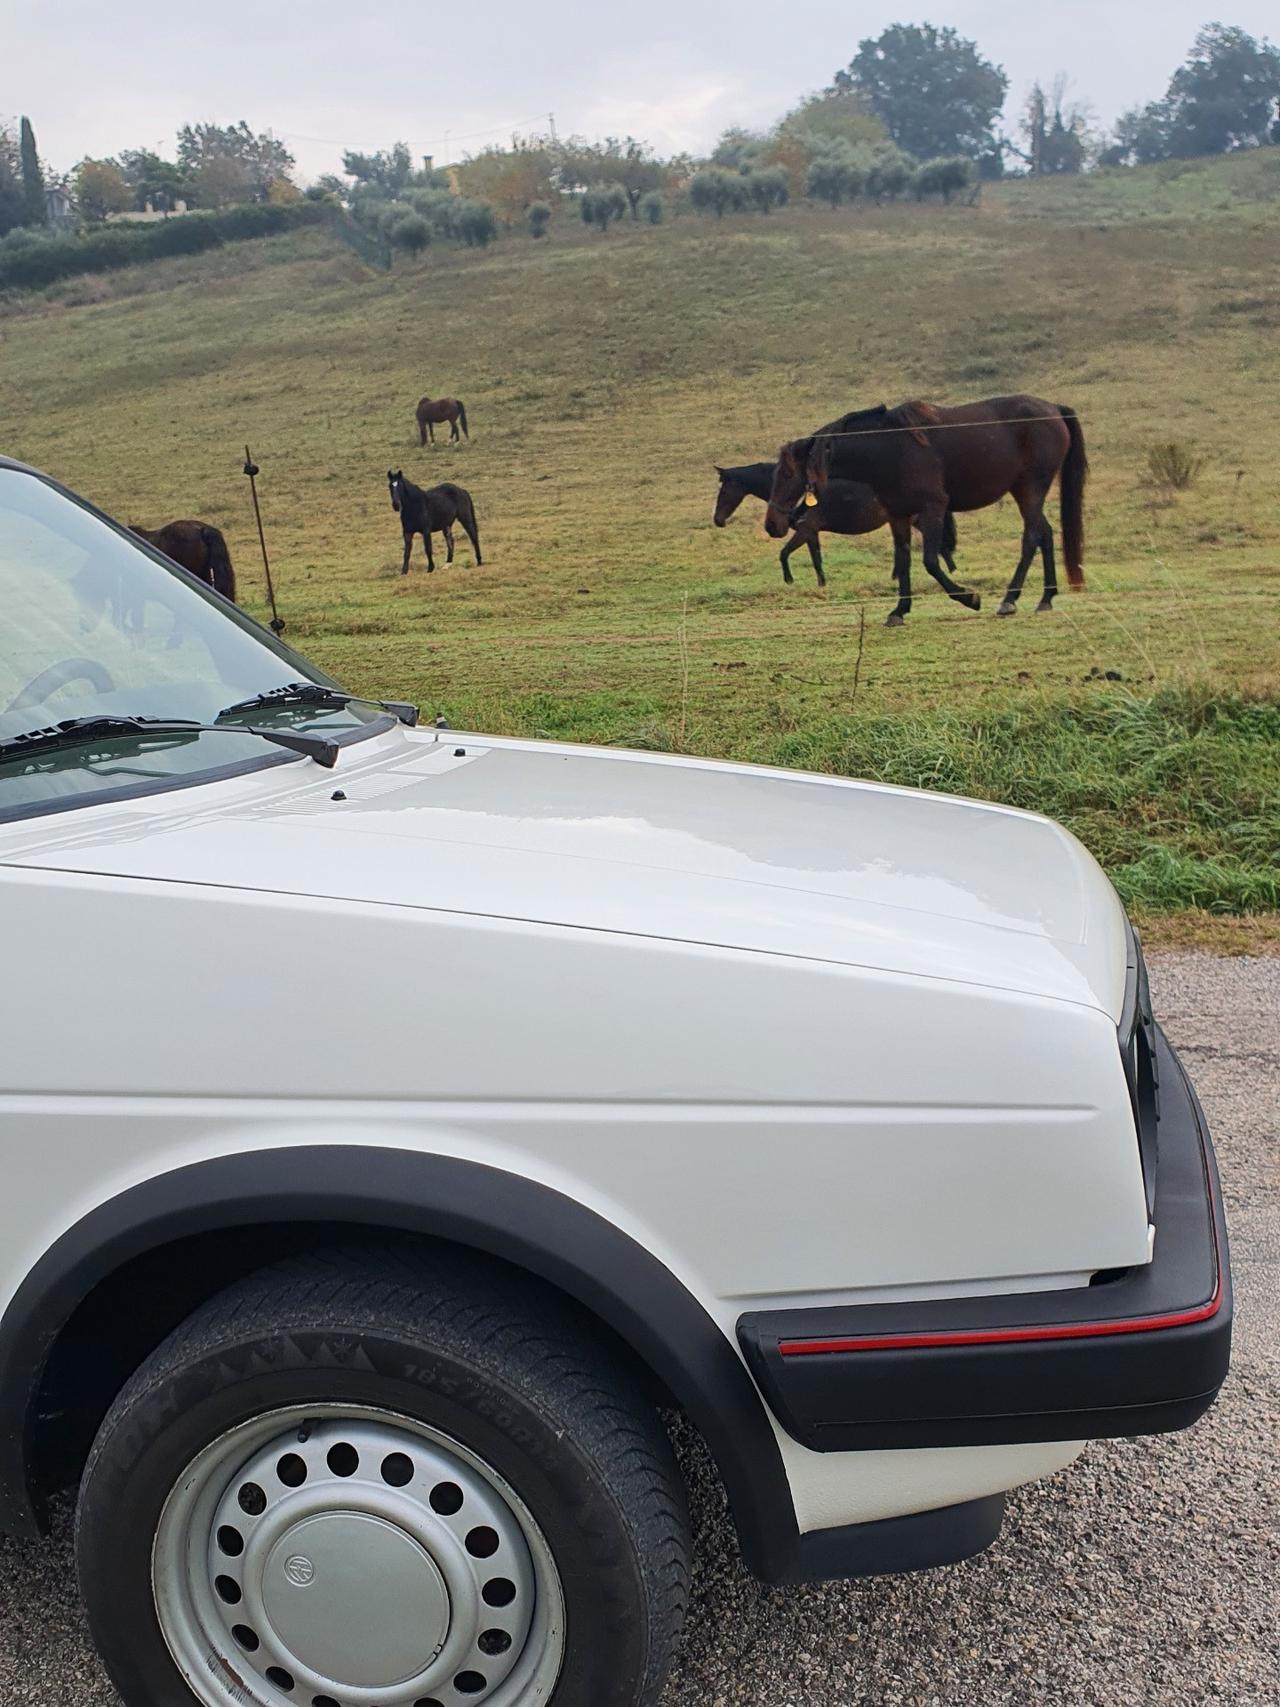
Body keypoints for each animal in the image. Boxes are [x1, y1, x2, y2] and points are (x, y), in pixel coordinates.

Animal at [713, 464, 962, 590]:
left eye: (723, 490)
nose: (718, 520)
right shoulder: (810, 533)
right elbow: (816, 559)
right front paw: (822, 584)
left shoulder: (805, 530)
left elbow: (784, 554)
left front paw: (790, 580)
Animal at [771, 394, 1092, 628]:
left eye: (787, 473)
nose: (774, 523)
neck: (889, 448)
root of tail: (1054, 409)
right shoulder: (898, 515)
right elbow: (903, 561)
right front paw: (899, 609)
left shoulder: (933, 508)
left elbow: (930, 562)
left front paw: (968, 597)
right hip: (1025, 492)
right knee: (1045, 534)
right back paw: (1046, 597)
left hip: (1031, 488)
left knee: (1031, 538)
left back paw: (1009, 600)